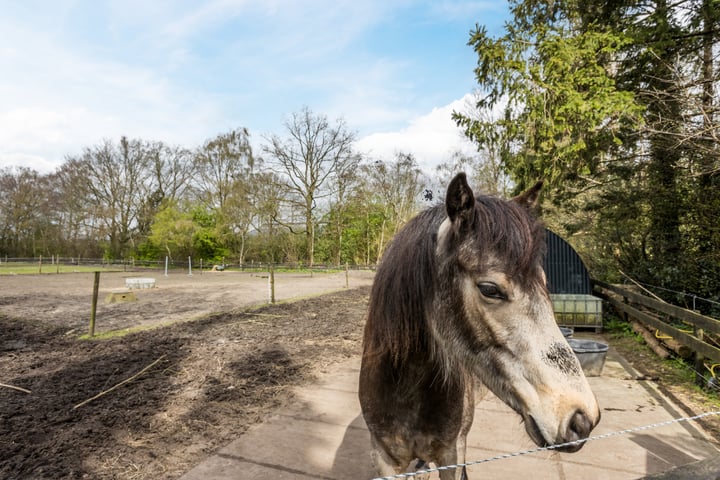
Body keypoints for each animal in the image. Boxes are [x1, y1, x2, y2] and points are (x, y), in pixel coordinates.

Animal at [358, 173, 600, 480]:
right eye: (490, 289)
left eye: (544, 283)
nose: (581, 419)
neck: (405, 390)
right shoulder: (385, 460)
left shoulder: (452, 455)